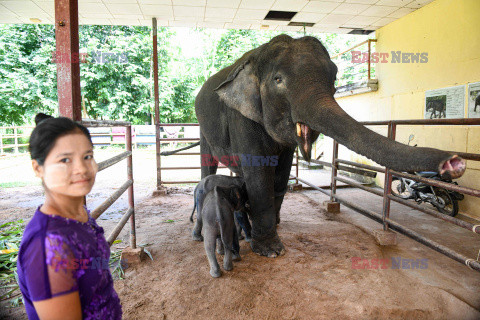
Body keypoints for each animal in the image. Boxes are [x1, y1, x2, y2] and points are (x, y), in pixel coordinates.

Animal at [194, 34, 464, 258]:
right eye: (278, 80)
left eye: (334, 78)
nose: (455, 162)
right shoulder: (240, 117)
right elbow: (260, 175)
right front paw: (271, 251)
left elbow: (280, 176)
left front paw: (272, 231)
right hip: (202, 126)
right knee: (209, 164)